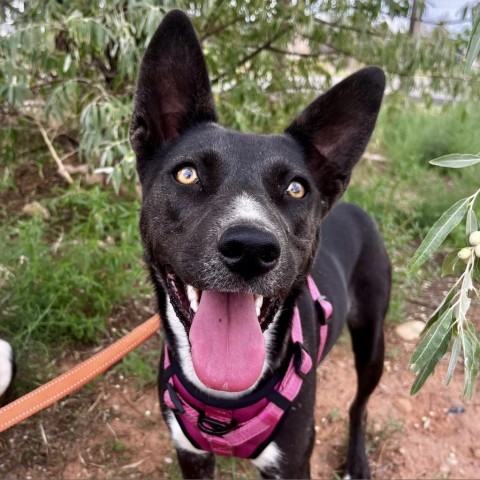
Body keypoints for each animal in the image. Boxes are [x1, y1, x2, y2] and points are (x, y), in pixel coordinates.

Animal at [130, 9, 390, 478]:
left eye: (296, 189)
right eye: (187, 174)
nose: (251, 248)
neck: (223, 399)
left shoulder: (292, 462)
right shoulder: (190, 454)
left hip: (372, 339)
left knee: (359, 404)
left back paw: (357, 459)